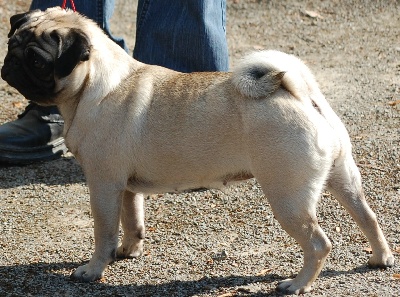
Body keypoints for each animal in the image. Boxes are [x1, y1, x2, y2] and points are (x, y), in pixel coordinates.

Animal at [0, 7, 394, 294]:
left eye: (38, 61)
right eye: (11, 42)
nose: (10, 64)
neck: (95, 85)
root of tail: (299, 91)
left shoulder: (103, 184)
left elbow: (104, 231)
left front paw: (94, 269)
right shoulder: (126, 187)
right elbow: (132, 222)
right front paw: (129, 252)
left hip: (287, 196)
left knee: (318, 244)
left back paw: (297, 284)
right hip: (343, 178)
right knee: (368, 217)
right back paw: (381, 258)